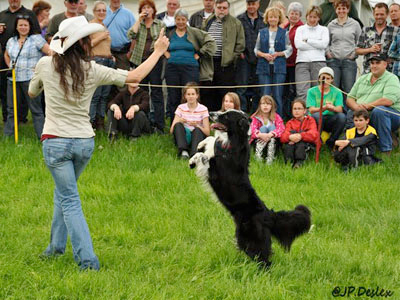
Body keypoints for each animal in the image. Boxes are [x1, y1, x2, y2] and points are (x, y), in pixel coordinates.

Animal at [189, 109, 310, 268]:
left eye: (226, 116)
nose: (211, 113)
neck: (233, 142)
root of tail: (267, 215)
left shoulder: (216, 171)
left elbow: (204, 156)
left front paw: (193, 160)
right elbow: (210, 141)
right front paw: (199, 146)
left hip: (251, 237)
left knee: (264, 260)